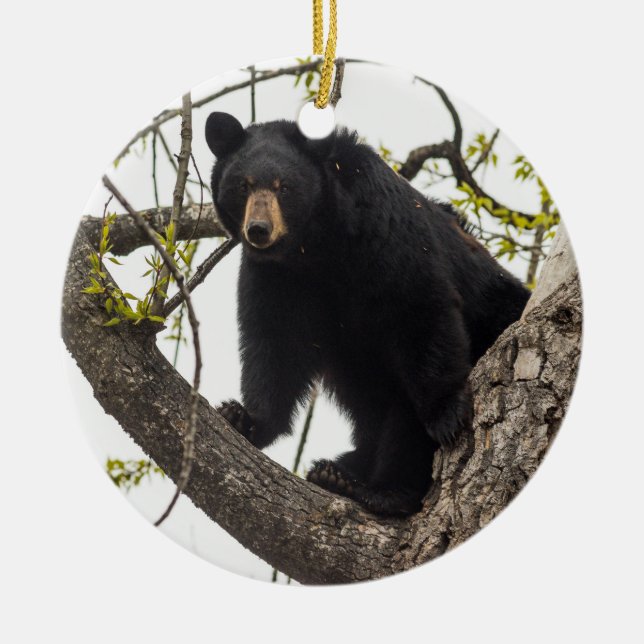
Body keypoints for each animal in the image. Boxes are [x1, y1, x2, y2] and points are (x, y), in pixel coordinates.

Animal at [205, 111, 530, 516]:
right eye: (243, 185)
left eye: (284, 187)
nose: (259, 230)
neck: (315, 246)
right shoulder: (276, 277)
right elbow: (274, 343)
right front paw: (244, 417)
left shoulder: (384, 232)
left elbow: (420, 309)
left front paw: (447, 415)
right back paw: (337, 471)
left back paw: (379, 489)